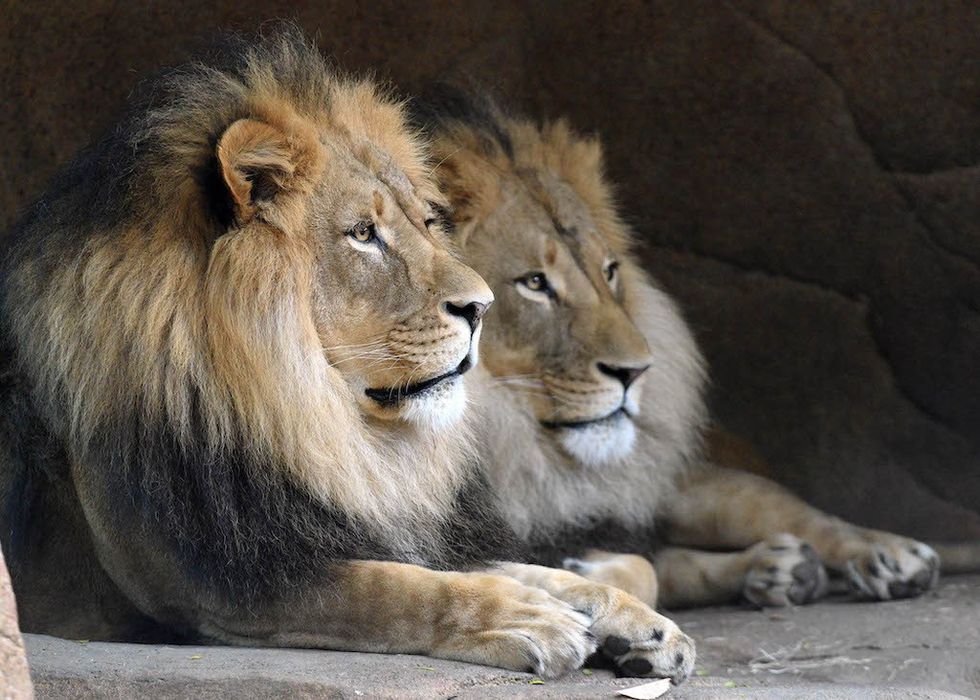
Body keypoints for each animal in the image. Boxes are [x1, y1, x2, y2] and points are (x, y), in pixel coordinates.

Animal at [0, 28, 700, 682]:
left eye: (427, 223)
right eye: (364, 234)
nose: (480, 307)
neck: (312, 419)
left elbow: (533, 569)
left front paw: (636, 621)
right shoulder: (210, 581)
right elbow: (392, 589)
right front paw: (526, 616)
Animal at [417, 87, 976, 610]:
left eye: (609, 271)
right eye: (534, 283)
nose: (637, 372)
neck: (506, 437)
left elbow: (645, 569)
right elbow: (650, 571)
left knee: (802, 515)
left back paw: (894, 557)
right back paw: (781, 569)